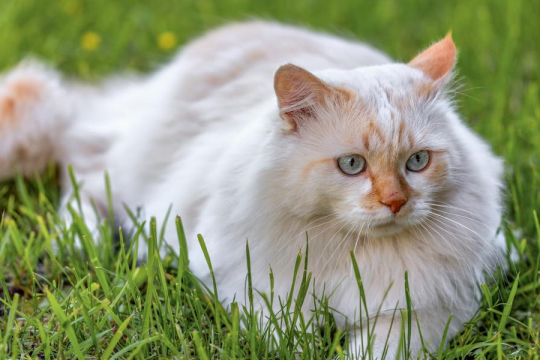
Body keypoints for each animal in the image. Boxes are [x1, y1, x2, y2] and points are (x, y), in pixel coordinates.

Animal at [0, 21, 506, 358]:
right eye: (352, 165)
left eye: (417, 162)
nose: (396, 202)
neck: (354, 251)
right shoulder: (255, 289)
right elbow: (288, 338)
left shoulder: (428, 311)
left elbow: (377, 347)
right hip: (130, 175)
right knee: (81, 180)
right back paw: (75, 239)